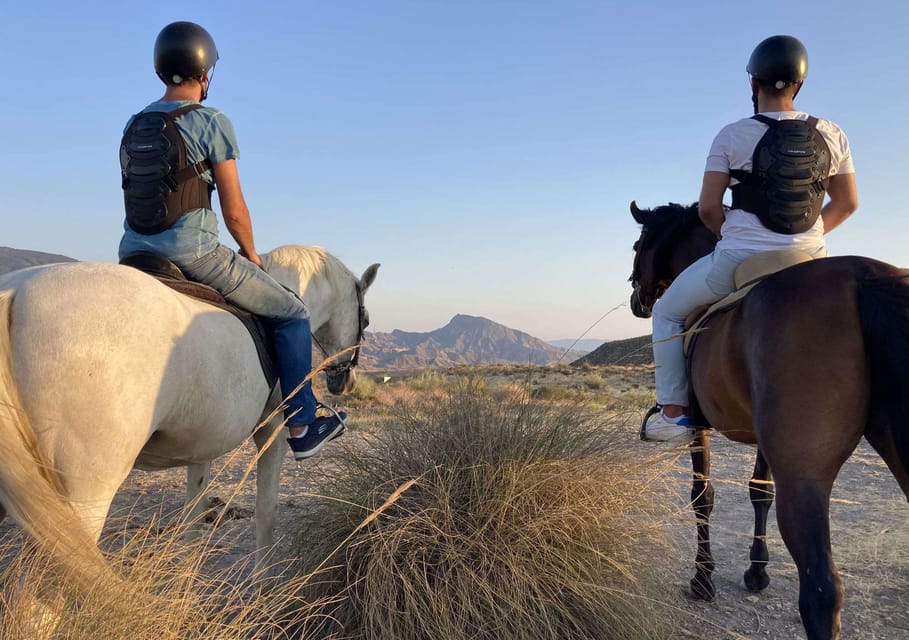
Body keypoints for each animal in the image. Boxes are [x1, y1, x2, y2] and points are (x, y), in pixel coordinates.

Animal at [0, 245, 380, 584]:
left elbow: (193, 521)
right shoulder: (272, 431)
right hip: (81, 498)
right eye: (365, 319)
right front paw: (262, 589)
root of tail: (16, 292)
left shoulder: (203, 447)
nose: (345, 382)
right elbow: (265, 511)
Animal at [628, 200, 908, 640]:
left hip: (804, 473)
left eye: (638, 245)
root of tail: (864, 277)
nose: (637, 301)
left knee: (822, 590)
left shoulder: (698, 425)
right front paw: (757, 572)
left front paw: (702, 579)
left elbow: (702, 496)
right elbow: (760, 493)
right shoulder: (763, 437)